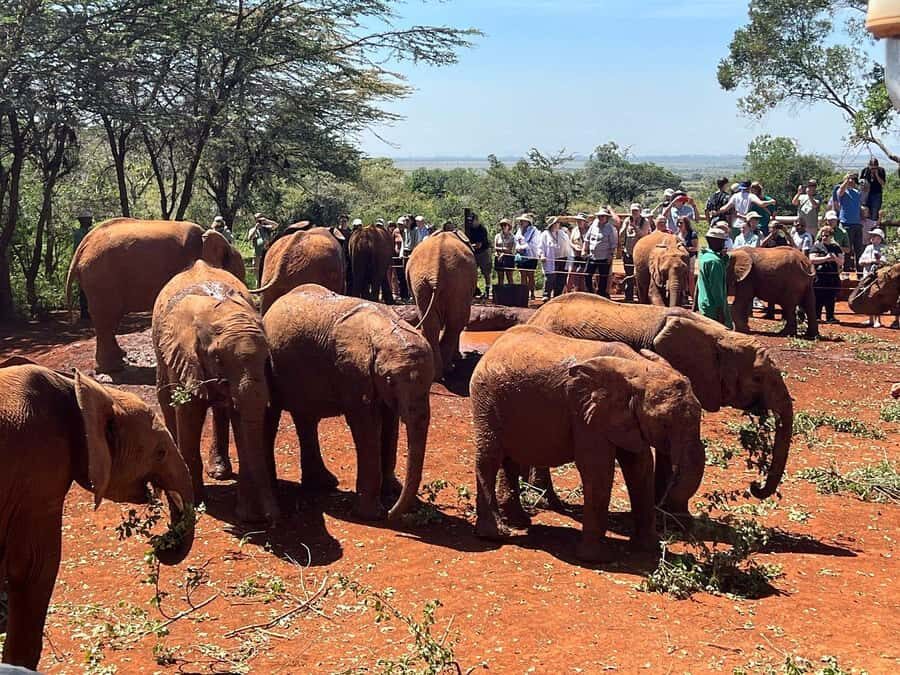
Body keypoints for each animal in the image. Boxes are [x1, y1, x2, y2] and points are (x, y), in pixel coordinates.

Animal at [66, 218, 246, 372]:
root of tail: (82, 248)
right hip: (102, 277)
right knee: (107, 317)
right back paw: (114, 368)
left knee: (110, 319)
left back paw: (119, 360)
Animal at [152, 261, 277, 525]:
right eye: (218, 359)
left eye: (266, 359)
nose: (272, 519)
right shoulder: (183, 354)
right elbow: (188, 413)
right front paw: (197, 503)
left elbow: (242, 420)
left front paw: (247, 516)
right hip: (159, 346)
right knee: (166, 400)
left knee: (222, 411)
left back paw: (219, 472)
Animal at [263, 284, 434, 520]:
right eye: (390, 380)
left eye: (431, 382)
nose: (391, 514)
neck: (384, 329)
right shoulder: (352, 372)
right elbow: (366, 425)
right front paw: (372, 515)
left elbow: (390, 423)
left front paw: (391, 493)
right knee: (273, 415)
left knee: (306, 418)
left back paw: (322, 484)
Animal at [405, 231, 477, 379]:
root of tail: (435, 270)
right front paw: (457, 358)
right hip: (458, 281)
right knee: (456, 322)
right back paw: (447, 369)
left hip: (420, 282)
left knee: (432, 323)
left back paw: (437, 373)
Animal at [471, 326, 705, 562]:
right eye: (664, 423)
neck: (637, 368)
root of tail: (494, 346)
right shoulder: (585, 413)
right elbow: (597, 469)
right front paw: (598, 558)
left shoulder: (625, 418)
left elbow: (640, 466)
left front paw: (649, 549)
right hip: (486, 398)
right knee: (490, 457)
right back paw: (495, 534)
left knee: (510, 458)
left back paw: (519, 522)